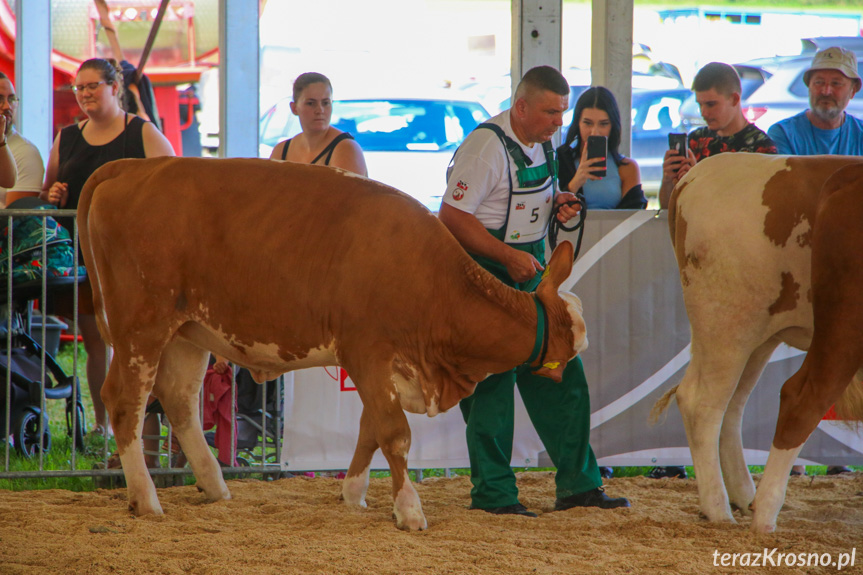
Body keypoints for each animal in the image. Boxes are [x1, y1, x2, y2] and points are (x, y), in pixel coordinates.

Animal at [77, 156, 592, 532]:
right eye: (571, 347)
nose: (568, 375)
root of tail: (135, 166)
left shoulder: (377, 367)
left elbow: (370, 429)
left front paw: (353, 495)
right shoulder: (368, 353)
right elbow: (394, 434)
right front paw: (409, 511)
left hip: (188, 332)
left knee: (179, 401)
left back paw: (214, 486)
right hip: (140, 327)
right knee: (124, 402)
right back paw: (147, 500)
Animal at [656, 152, 863, 532]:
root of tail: (695, 175)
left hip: (755, 338)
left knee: (732, 407)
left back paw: (743, 497)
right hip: (736, 327)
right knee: (707, 403)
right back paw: (726, 510)